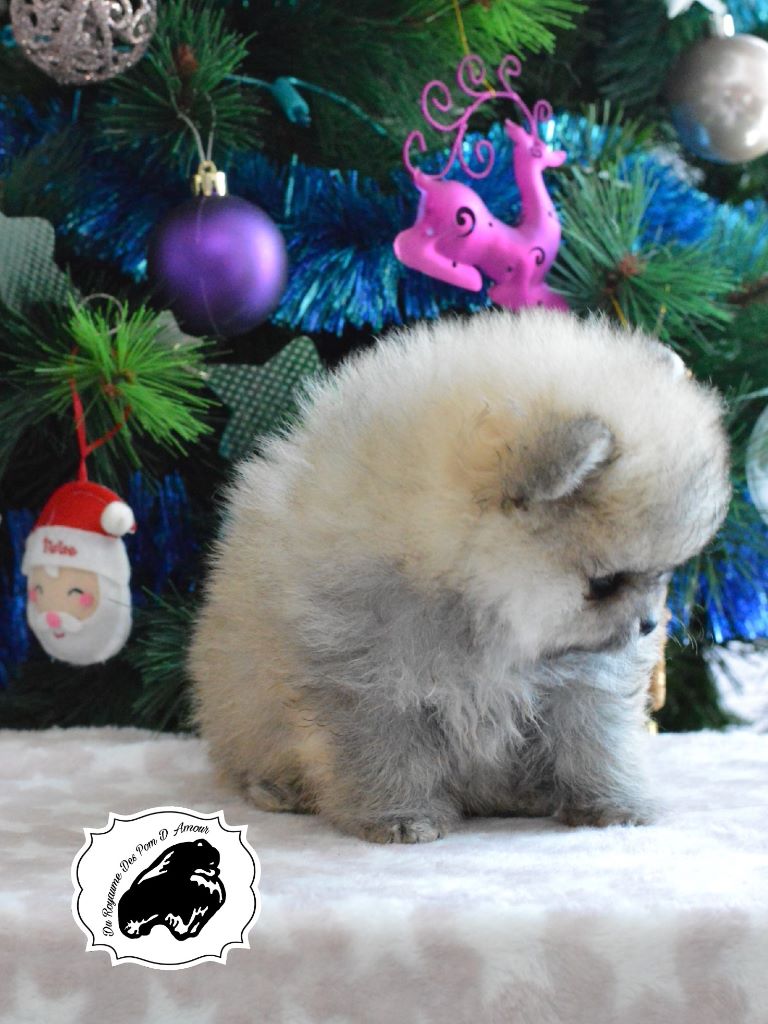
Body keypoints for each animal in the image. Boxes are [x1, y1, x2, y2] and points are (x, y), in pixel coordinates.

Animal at [189, 308, 730, 843]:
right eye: (604, 584)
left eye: (662, 574)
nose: (648, 625)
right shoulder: (367, 680)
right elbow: (385, 753)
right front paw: (401, 817)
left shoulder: (582, 680)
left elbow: (597, 742)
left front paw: (616, 805)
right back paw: (280, 788)